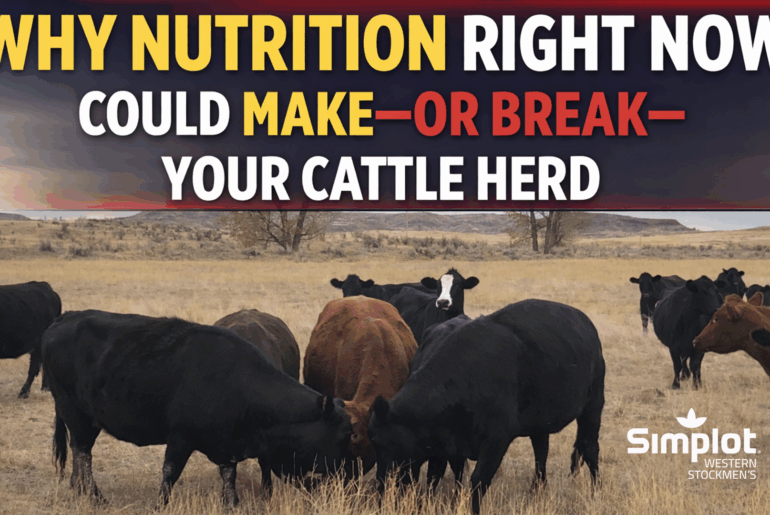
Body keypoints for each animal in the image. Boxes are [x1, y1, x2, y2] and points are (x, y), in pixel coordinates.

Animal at [42, 310, 352, 508]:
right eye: (344, 435)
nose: (347, 475)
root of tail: (64, 319)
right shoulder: (180, 438)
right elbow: (169, 473)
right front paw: (161, 504)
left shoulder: (226, 445)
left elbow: (229, 475)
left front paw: (232, 503)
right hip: (77, 415)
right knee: (83, 453)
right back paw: (95, 497)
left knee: (78, 452)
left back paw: (79, 489)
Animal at [368, 299, 605, 515]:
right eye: (374, 445)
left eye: (386, 445)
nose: (380, 489)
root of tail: (584, 321)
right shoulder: (445, 445)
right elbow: (440, 476)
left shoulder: (496, 440)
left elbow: (478, 481)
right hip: (540, 420)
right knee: (542, 450)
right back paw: (537, 489)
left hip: (593, 405)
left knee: (590, 447)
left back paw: (596, 491)